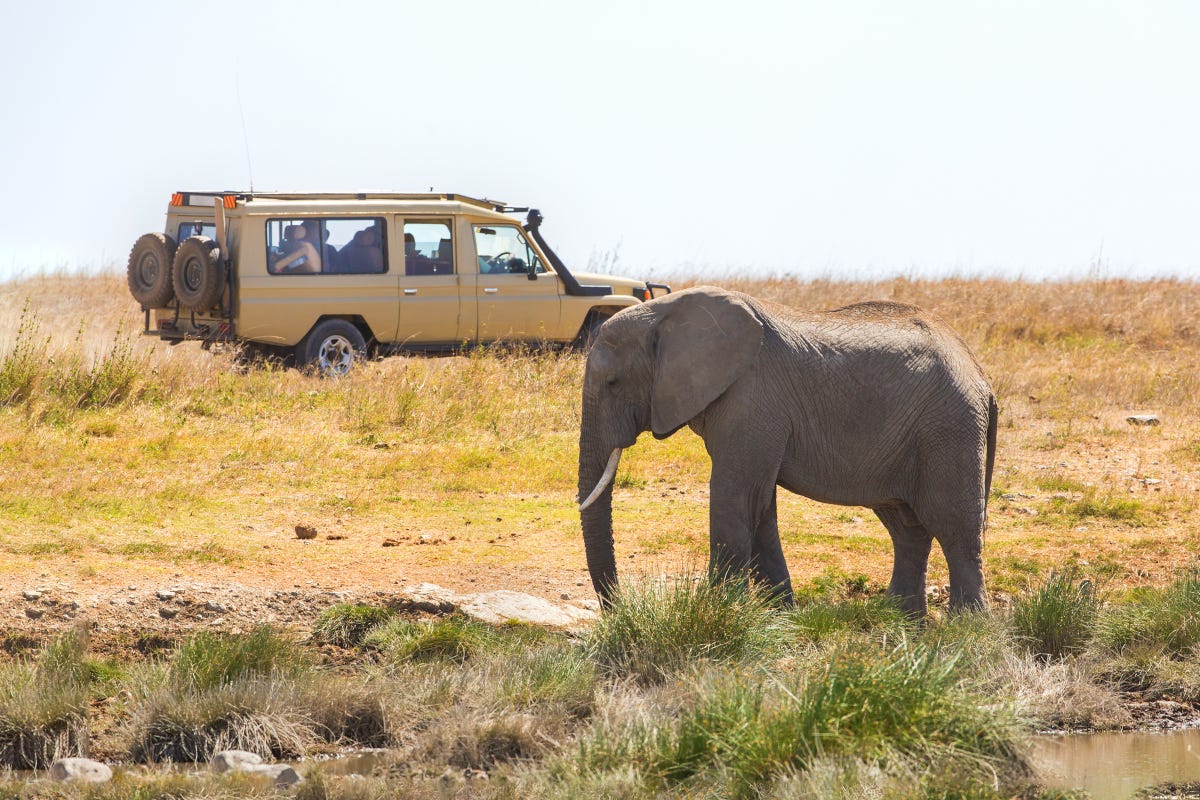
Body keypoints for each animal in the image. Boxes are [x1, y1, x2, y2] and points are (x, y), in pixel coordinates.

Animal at [576, 287, 998, 618]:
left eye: (613, 382)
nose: (619, 611)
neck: (665, 312)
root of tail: (981, 375)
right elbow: (759, 504)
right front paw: (781, 616)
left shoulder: (753, 398)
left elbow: (736, 496)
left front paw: (716, 614)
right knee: (907, 528)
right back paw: (902, 621)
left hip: (949, 427)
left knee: (954, 528)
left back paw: (967, 627)